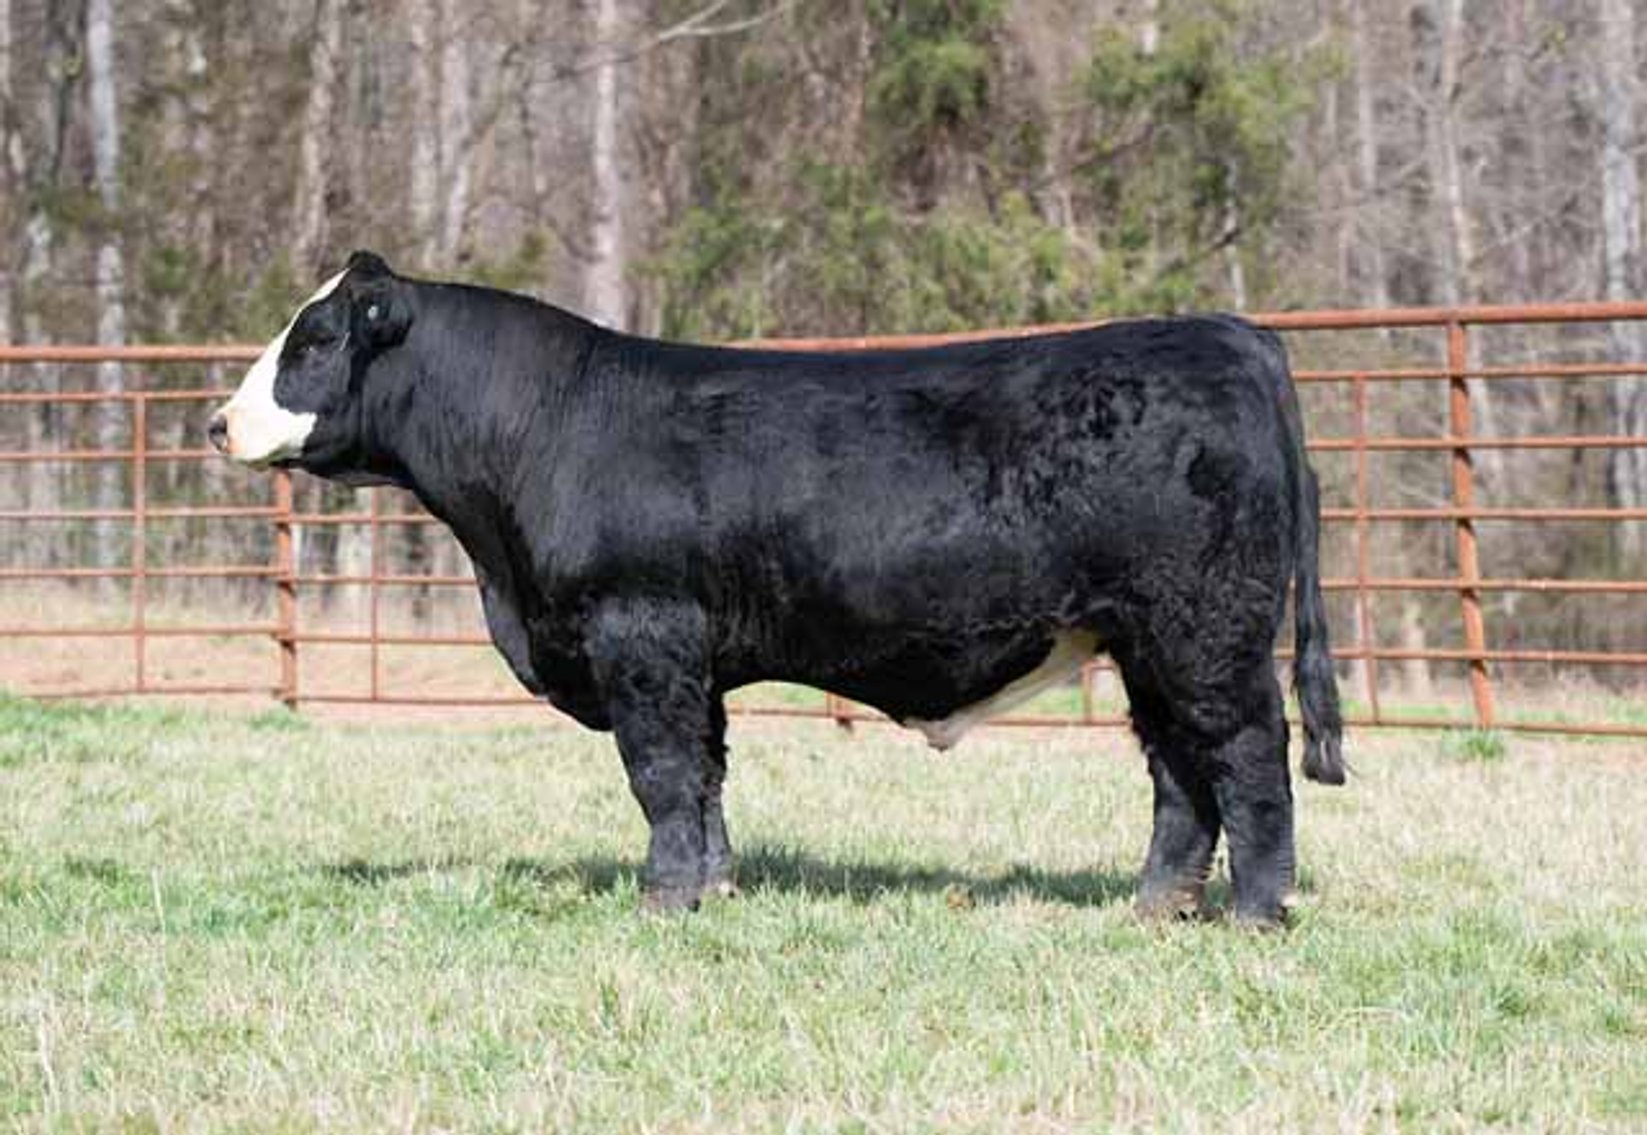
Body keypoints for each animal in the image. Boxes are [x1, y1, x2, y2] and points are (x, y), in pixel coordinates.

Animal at [210, 251, 1345, 925]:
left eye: (314, 340)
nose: (219, 422)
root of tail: (1226, 332)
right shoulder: (692, 658)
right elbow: (706, 778)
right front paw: (714, 886)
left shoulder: (641, 632)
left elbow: (662, 775)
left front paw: (662, 902)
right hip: (1147, 638)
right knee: (1179, 775)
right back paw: (1156, 907)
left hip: (1209, 632)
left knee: (1248, 758)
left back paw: (1254, 914)